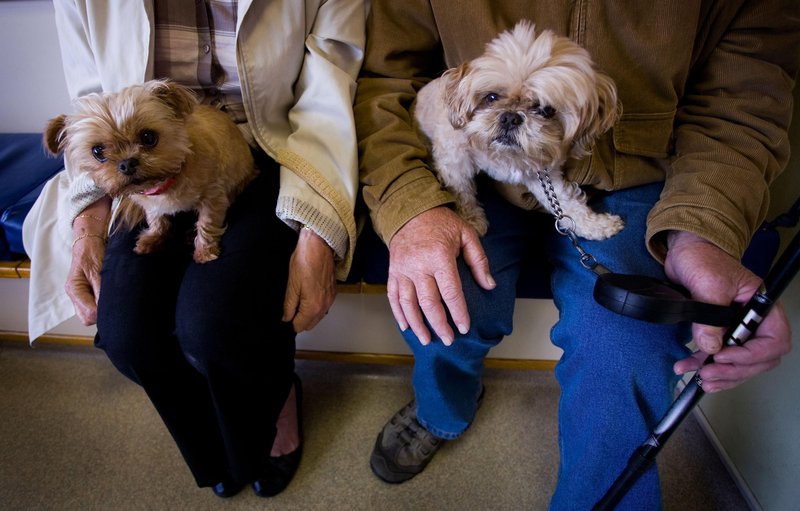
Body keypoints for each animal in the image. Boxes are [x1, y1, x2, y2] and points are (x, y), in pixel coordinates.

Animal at [44, 81, 256, 264]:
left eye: (148, 137)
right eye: (98, 151)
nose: (127, 163)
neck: (168, 179)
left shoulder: (214, 198)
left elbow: (206, 223)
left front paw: (204, 250)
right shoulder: (151, 204)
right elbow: (156, 219)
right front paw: (153, 238)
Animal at [416, 21, 620, 241]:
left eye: (546, 110)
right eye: (491, 97)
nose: (511, 117)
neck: (503, 155)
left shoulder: (544, 175)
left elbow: (567, 203)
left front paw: (596, 225)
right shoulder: (454, 162)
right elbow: (463, 193)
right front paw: (472, 221)